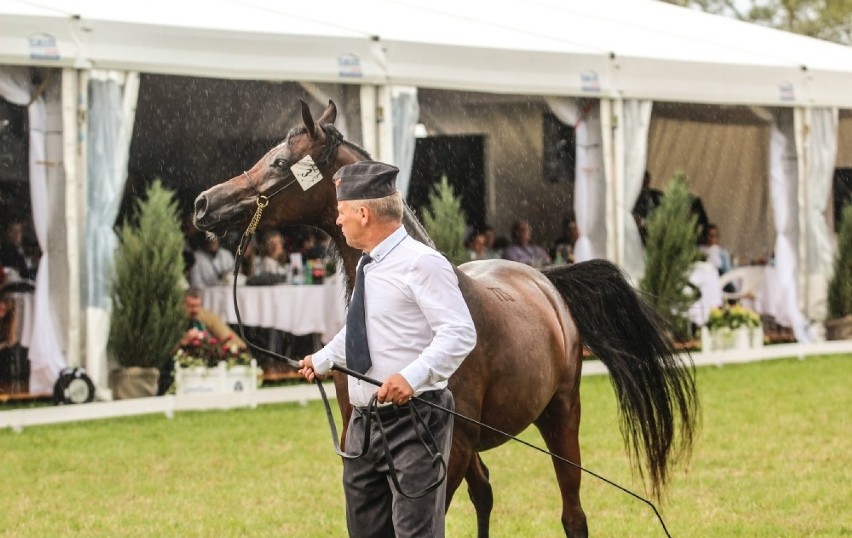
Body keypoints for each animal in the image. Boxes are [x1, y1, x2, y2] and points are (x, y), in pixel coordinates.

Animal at [193, 98, 700, 532]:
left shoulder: (445, 455)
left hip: (560, 414)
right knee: (486, 494)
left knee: (572, 513)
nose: (204, 204)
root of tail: (545, 281)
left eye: (280, 163)